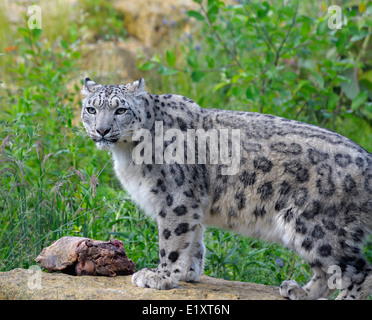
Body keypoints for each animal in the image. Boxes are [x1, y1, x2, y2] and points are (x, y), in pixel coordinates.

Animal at [81, 78, 372, 300]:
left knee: (357, 271)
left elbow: (171, 241)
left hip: (317, 227)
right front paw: (188, 272)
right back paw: (298, 291)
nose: (102, 130)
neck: (126, 155)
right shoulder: (191, 205)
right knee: (327, 272)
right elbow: (194, 239)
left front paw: (159, 276)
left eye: (121, 110)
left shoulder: (175, 200)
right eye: (91, 109)